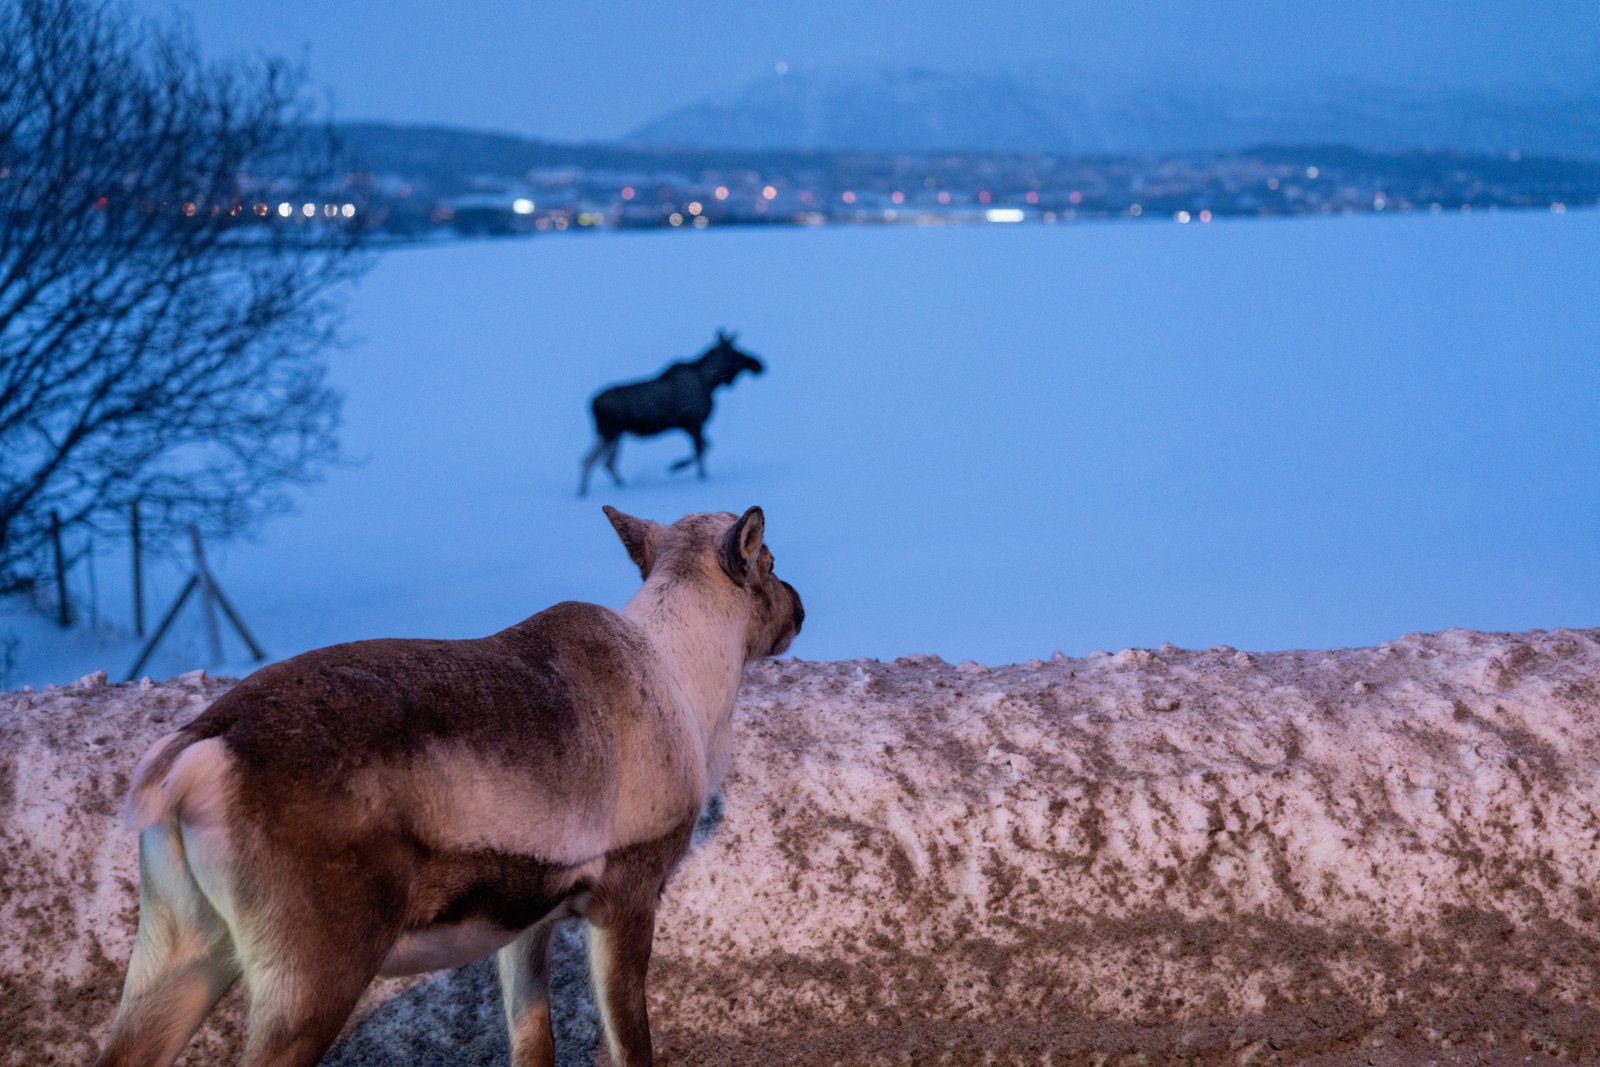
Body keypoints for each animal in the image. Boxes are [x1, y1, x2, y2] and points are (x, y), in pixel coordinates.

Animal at [94, 506, 804, 1067]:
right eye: (767, 559)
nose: (798, 607)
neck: (688, 683)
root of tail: (197, 754)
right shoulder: (628, 894)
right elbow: (632, 1046)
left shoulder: (528, 921)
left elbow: (533, 1043)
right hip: (311, 976)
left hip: (179, 953)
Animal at [579, 330, 764, 497]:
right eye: (736, 352)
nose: (758, 364)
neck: (710, 383)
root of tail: (592, 404)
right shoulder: (694, 423)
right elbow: (701, 454)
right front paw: (684, 470)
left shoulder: (692, 427)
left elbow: (705, 448)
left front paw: (677, 466)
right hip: (608, 431)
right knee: (589, 460)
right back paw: (584, 492)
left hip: (615, 434)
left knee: (607, 462)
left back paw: (619, 485)